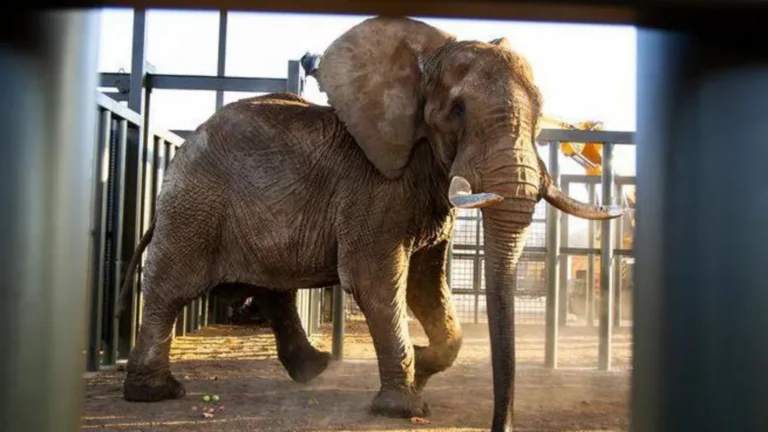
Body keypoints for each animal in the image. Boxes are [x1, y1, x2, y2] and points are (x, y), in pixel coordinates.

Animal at [115, 16, 623, 431]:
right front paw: (406, 406)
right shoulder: (374, 185)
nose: (502, 425)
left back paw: (314, 368)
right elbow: (375, 282)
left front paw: (422, 364)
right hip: (195, 205)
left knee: (272, 289)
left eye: (540, 110)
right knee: (171, 289)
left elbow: (425, 283)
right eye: (457, 111)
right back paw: (154, 393)